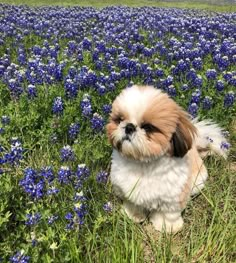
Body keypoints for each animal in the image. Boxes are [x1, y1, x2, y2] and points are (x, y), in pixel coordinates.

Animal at [106, 84, 230, 233]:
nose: (129, 127)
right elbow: (132, 205)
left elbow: (168, 214)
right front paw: (133, 216)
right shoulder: (128, 192)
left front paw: (167, 227)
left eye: (148, 127)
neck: (142, 163)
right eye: (119, 119)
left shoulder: (172, 197)